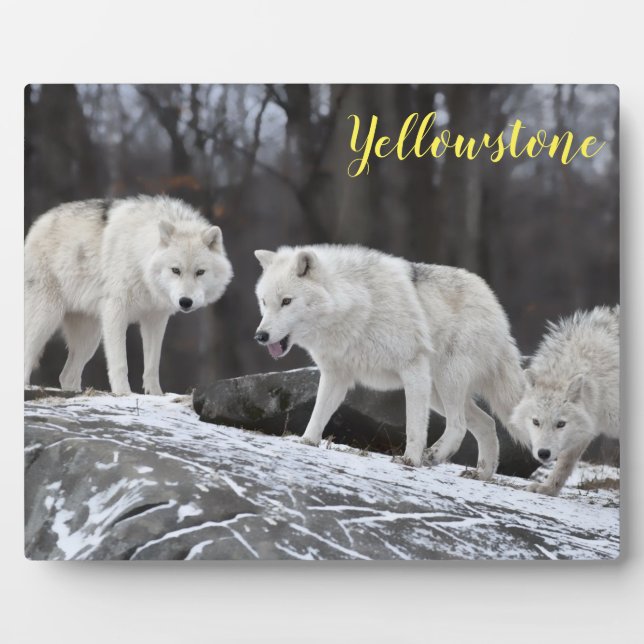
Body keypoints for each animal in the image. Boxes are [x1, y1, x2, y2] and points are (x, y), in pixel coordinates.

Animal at [24, 195, 233, 394]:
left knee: (67, 375)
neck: (139, 257)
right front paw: (123, 393)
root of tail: (37, 224)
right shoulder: (116, 312)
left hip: (89, 337)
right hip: (47, 319)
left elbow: (152, 366)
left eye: (200, 272)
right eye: (175, 270)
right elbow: (120, 363)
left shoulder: (155, 319)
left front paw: (156, 395)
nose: (185, 302)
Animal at [253, 244, 529, 478]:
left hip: (446, 380)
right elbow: (318, 414)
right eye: (264, 302)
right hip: (437, 393)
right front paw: (307, 442)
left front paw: (410, 460)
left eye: (286, 301)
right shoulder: (335, 376)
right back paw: (482, 473)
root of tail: (494, 302)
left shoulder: (412, 368)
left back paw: (434, 456)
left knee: (459, 425)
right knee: (487, 423)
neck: (356, 305)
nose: (260, 336)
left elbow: (414, 426)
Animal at [510, 305, 620, 496]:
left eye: (560, 424)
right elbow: (565, 463)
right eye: (536, 422)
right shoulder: (586, 426)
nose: (543, 453)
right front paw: (548, 488)